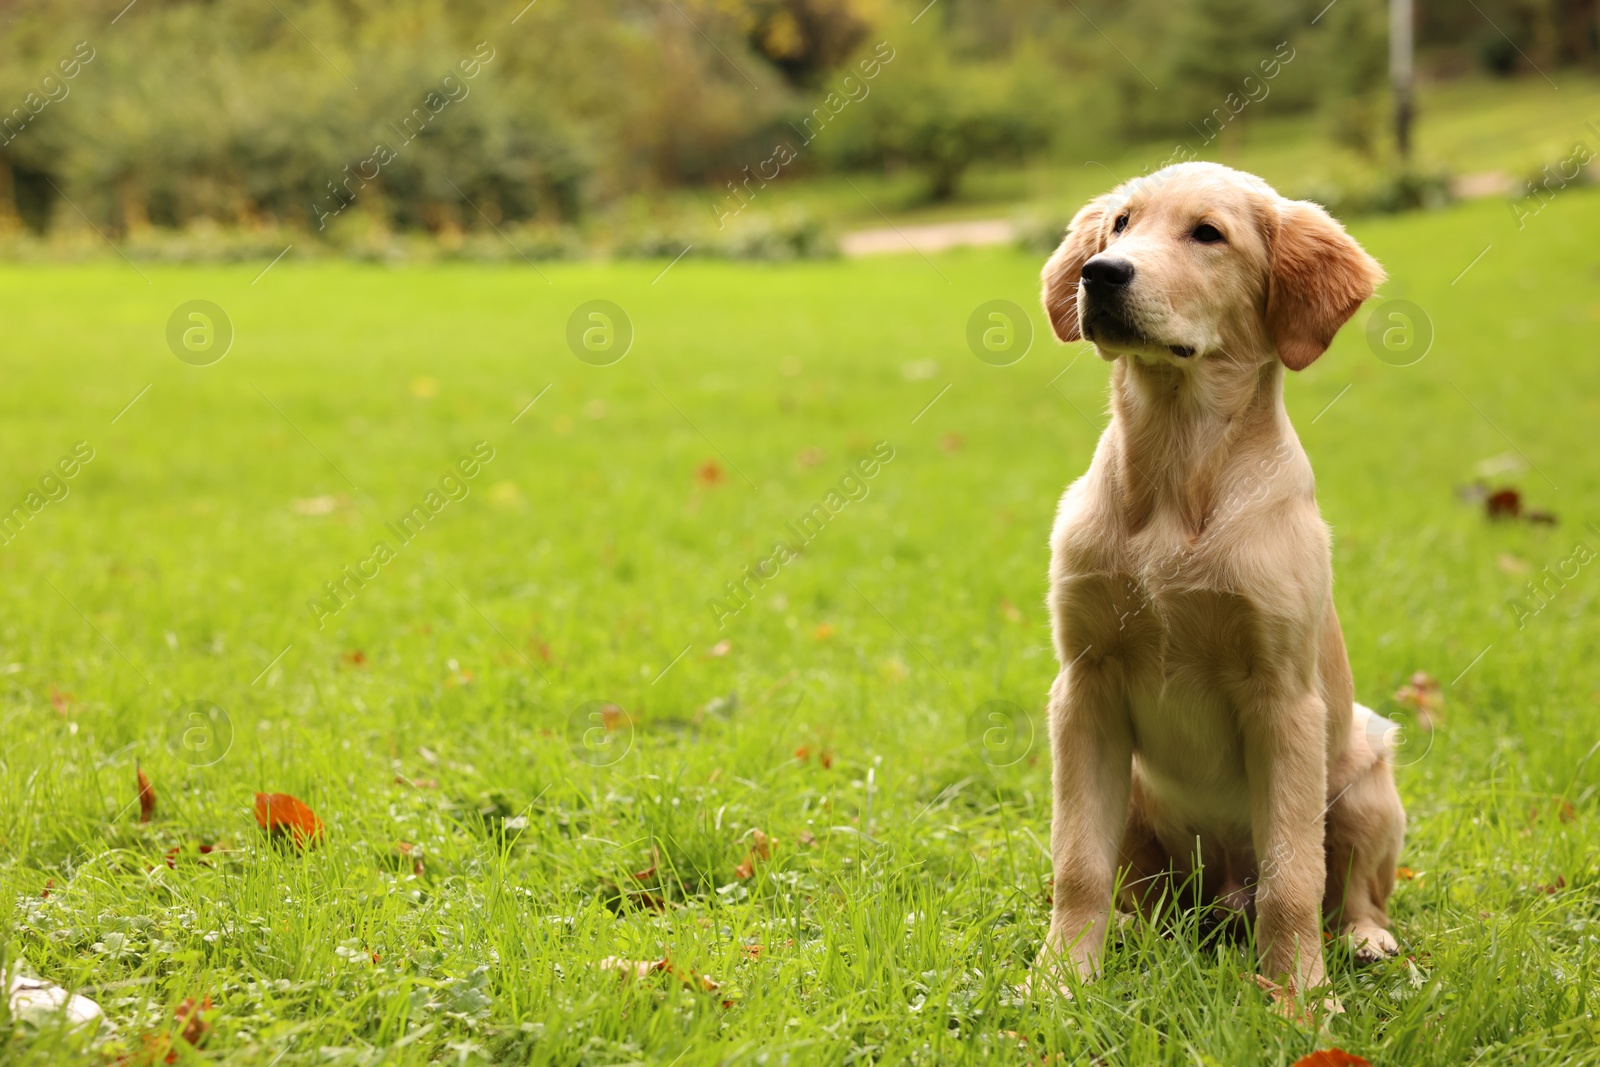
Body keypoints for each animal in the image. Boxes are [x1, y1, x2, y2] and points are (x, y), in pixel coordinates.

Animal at [1036, 163, 1401, 1004]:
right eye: (1120, 224)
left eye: (1208, 233)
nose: (1101, 274)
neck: (1177, 474)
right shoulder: (1084, 686)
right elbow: (1077, 862)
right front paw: (1061, 980)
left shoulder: (1284, 699)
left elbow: (1295, 879)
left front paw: (1300, 1001)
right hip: (1139, 793)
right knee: (1145, 893)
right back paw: (1132, 930)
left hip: (1367, 772)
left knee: (1349, 887)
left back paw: (1365, 939)